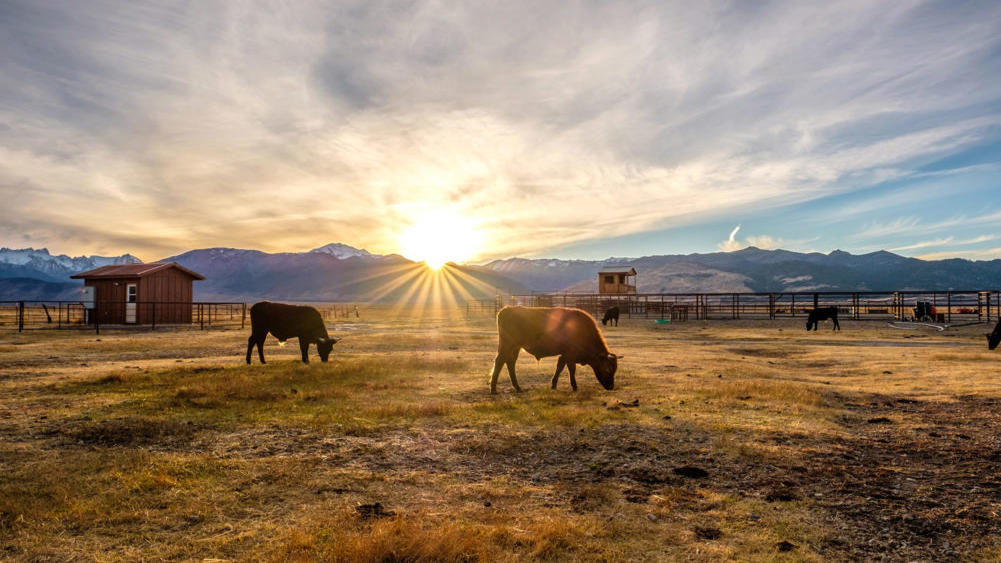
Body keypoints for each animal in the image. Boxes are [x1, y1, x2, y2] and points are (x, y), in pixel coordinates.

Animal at [489, 306, 619, 394]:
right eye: (607, 369)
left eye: (615, 369)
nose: (611, 386)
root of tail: (505, 310)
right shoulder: (569, 355)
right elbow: (571, 369)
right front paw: (574, 386)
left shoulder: (564, 355)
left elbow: (560, 367)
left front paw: (554, 385)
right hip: (507, 346)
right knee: (500, 362)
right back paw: (493, 389)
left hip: (515, 348)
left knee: (510, 363)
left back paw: (517, 387)